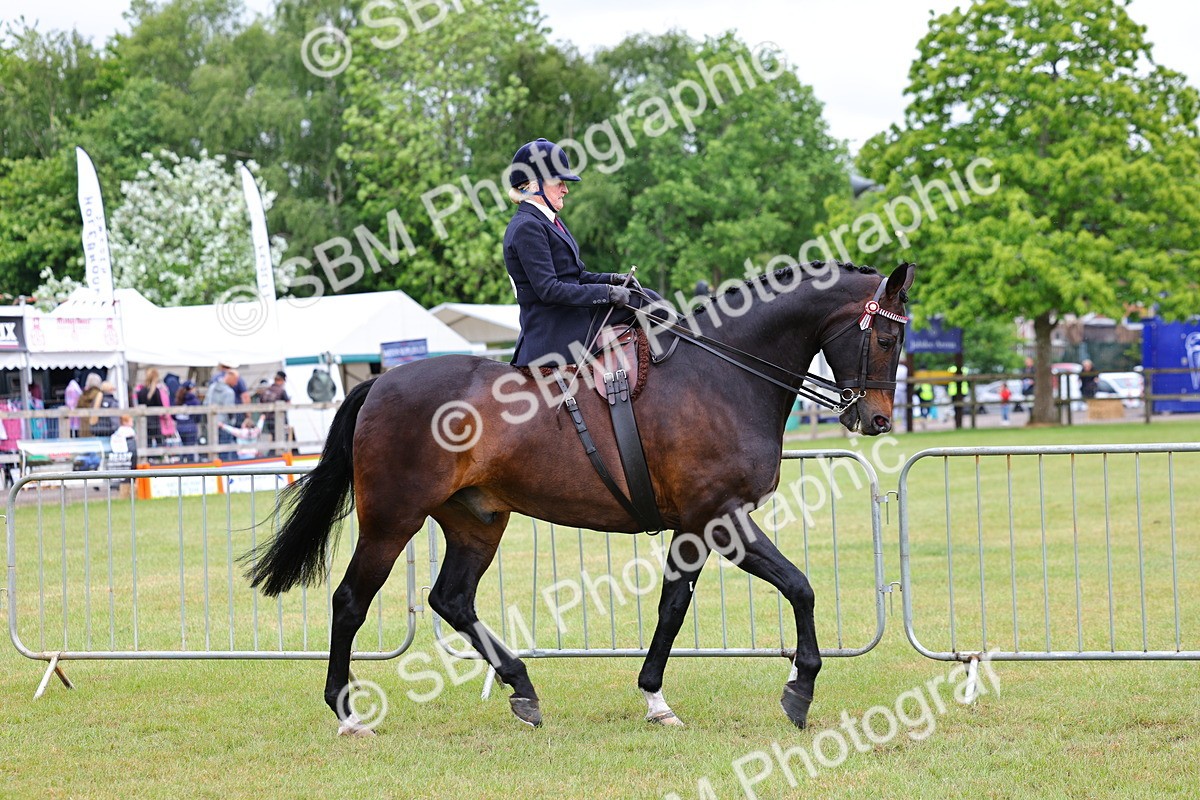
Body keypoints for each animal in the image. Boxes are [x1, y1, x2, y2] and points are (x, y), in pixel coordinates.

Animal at [245, 260, 914, 735]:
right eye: (885, 337)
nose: (878, 419)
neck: (721, 377)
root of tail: (380, 383)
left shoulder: (695, 527)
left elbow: (672, 608)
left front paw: (655, 698)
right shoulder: (722, 519)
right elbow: (799, 587)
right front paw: (800, 691)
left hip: (477, 520)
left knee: (451, 599)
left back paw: (522, 687)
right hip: (392, 520)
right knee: (350, 602)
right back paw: (348, 712)